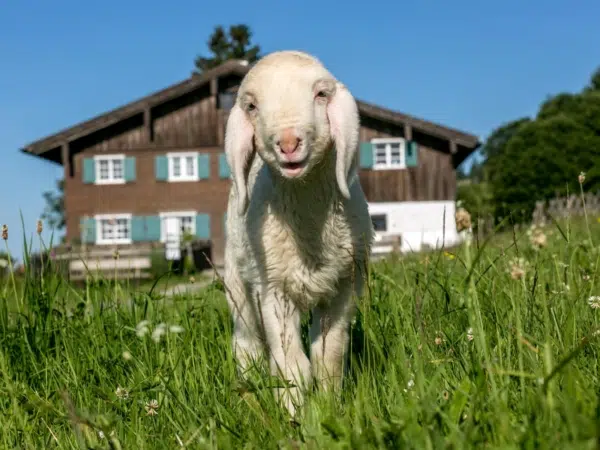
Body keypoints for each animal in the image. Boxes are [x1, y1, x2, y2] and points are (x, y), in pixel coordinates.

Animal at [223, 51, 372, 416]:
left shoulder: (344, 284)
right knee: (246, 338)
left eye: (321, 94)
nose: (288, 143)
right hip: (237, 278)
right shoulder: (273, 289)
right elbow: (291, 364)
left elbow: (327, 356)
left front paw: (329, 405)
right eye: (251, 106)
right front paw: (293, 411)